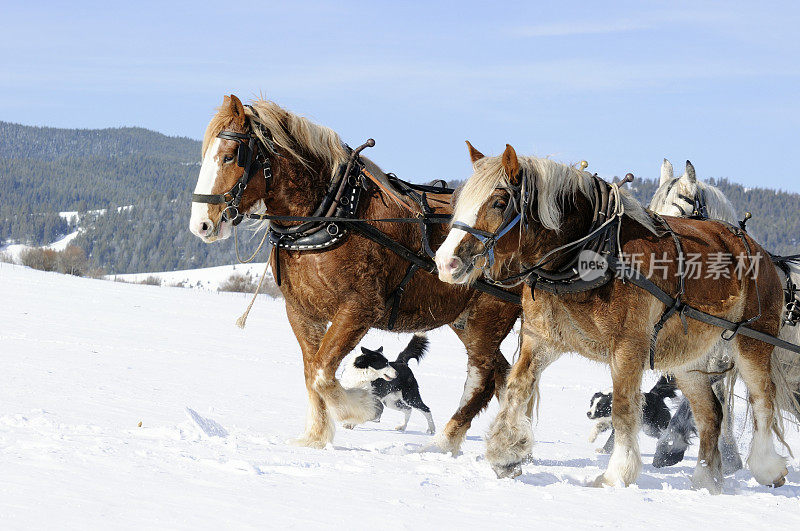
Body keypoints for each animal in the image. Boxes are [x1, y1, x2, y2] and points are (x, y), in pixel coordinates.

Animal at [188, 93, 520, 450]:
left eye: (230, 156)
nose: (201, 224)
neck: (333, 214)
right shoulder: (302, 312)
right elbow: (311, 371)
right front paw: (315, 437)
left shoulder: (359, 309)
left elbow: (323, 373)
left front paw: (358, 409)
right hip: (466, 321)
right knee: (502, 376)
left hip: (489, 317)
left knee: (483, 380)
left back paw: (450, 442)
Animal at [438, 143, 792, 492]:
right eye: (458, 201)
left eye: (499, 202)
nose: (445, 262)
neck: (590, 253)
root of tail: (760, 250)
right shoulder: (541, 339)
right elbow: (517, 387)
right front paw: (506, 454)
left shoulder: (628, 345)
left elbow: (622, 408)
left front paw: (616, 474)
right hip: (687, 358)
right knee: (710, 414)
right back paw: (705, 479)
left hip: (752, 342)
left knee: (762, 401)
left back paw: (767, 468)